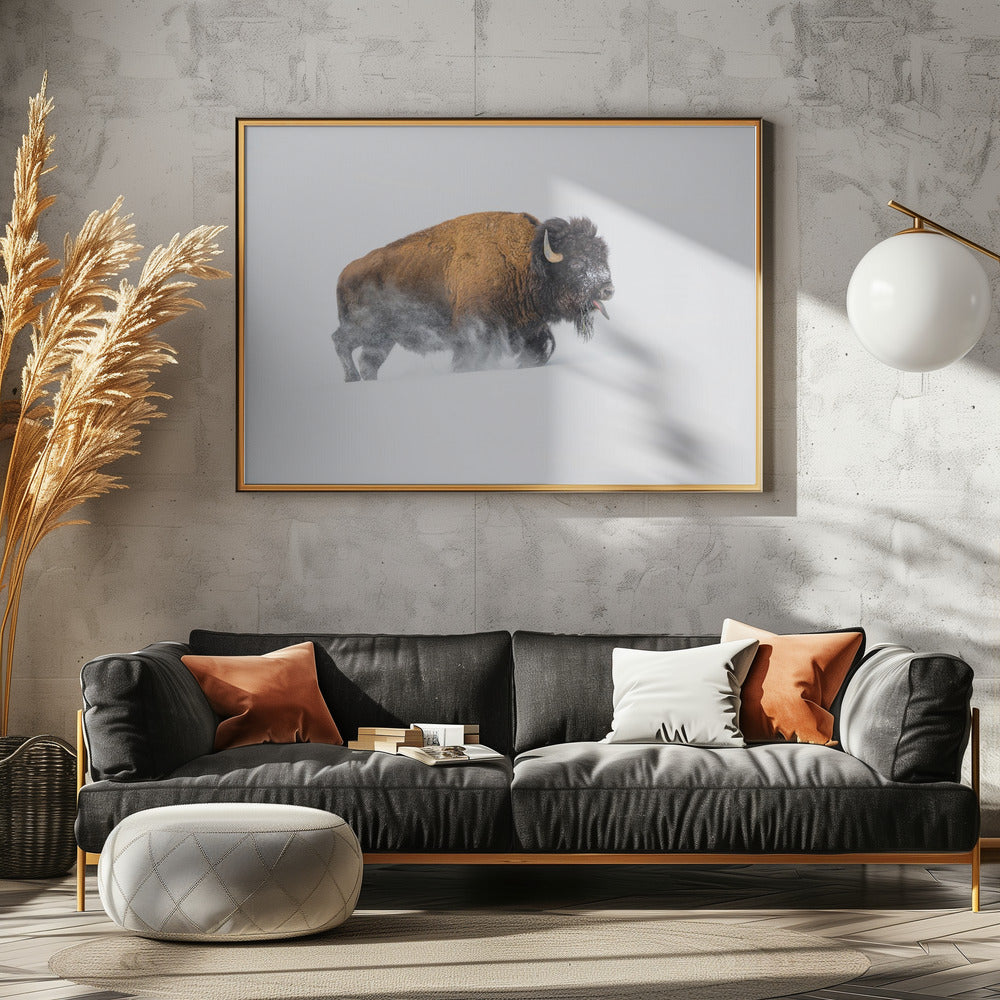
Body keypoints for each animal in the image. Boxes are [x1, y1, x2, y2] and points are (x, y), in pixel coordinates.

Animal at [331, 211, 613, 381]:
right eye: (576, 263)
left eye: (602, 258)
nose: (608, 289)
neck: (527, 261)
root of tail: (344, 273)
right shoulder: (475, 332)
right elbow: (470, 360)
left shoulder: (529, 329)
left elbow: (540, 350)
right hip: (366, 329)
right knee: (340, 341)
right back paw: (351, 378)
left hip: (383, 340)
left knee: (368, 362)